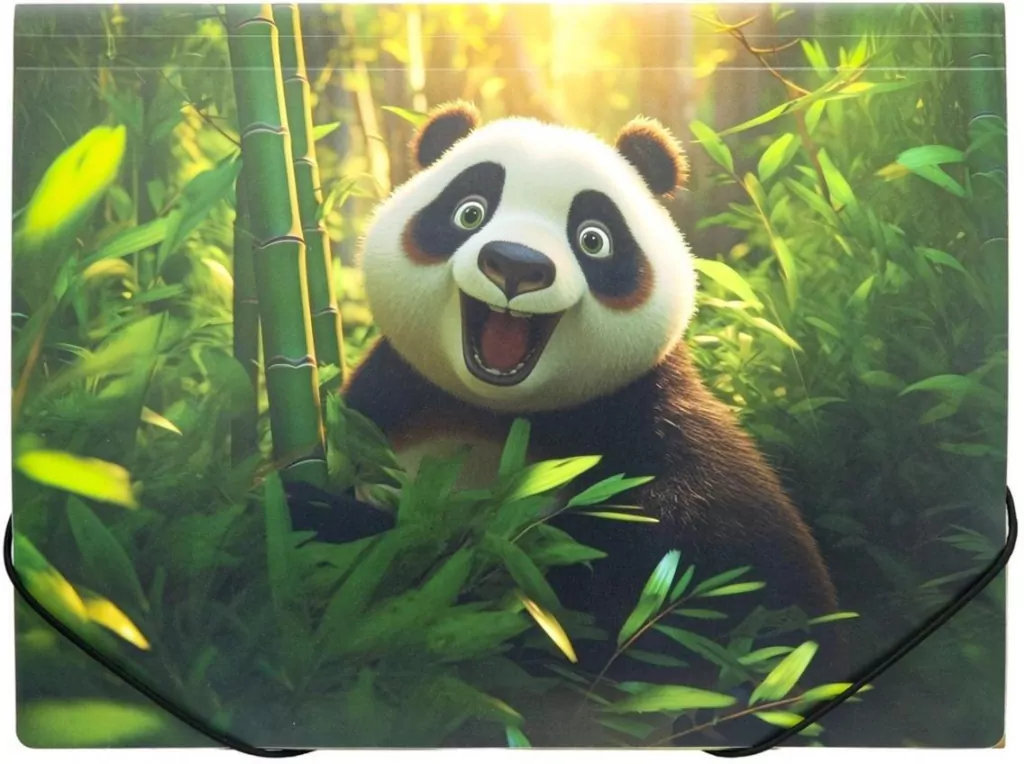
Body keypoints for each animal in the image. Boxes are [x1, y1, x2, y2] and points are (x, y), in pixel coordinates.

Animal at [292, 102, 842, 693]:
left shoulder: (656, 429)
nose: (515, 264)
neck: (502, 413)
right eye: (469, 212)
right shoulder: (382, 404)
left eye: (593, 238)